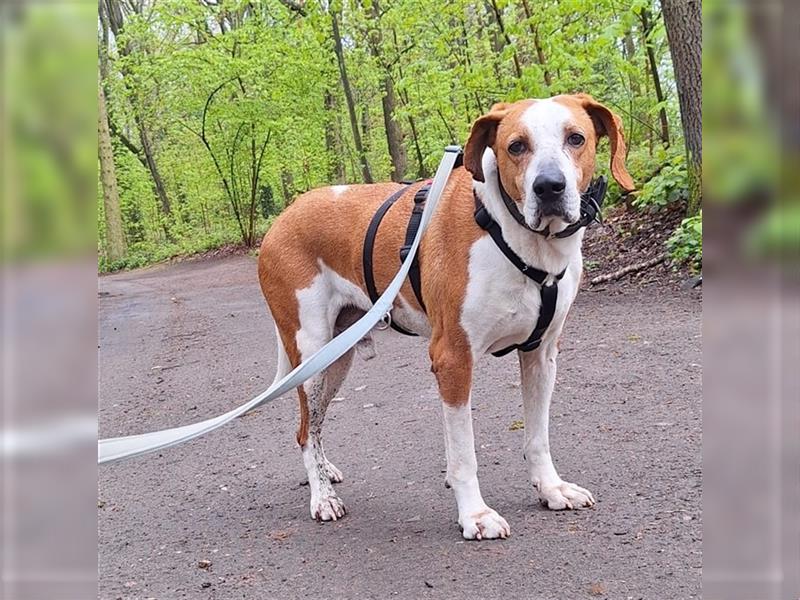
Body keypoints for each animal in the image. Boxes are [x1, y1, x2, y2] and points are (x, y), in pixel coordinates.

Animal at [260, 94, 636, 540]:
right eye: (516, 146)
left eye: (575, 138)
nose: (548, 186)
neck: (514, 234)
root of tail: (285, 215)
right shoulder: (453, 358)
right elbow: (463, 454)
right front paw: (474, 514)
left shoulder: (541, 356)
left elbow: (538, 436)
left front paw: (551, 488)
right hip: (313, 354)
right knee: (304, 430)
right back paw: (322, 497)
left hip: (338, 357)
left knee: (312, 427)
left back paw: (325, 471)